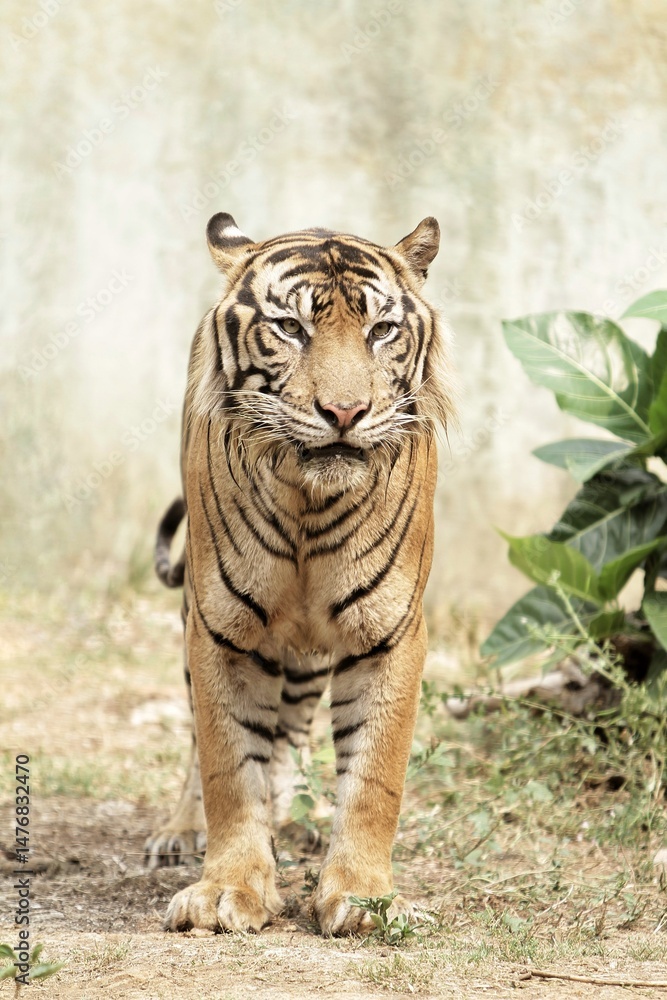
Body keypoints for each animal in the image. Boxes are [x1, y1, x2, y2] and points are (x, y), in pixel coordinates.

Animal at [145, 211, 455, 936]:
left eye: (381, 331)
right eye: (290, 327)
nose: (343, 413)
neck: (308, 508)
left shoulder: (389, 632)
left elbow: (373, 778)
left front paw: (366, 900)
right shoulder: (220, 629)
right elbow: (228, 766)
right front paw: (227, 889)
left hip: (310, 653)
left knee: (289, 728)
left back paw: (291, 820)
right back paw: (182, 830)